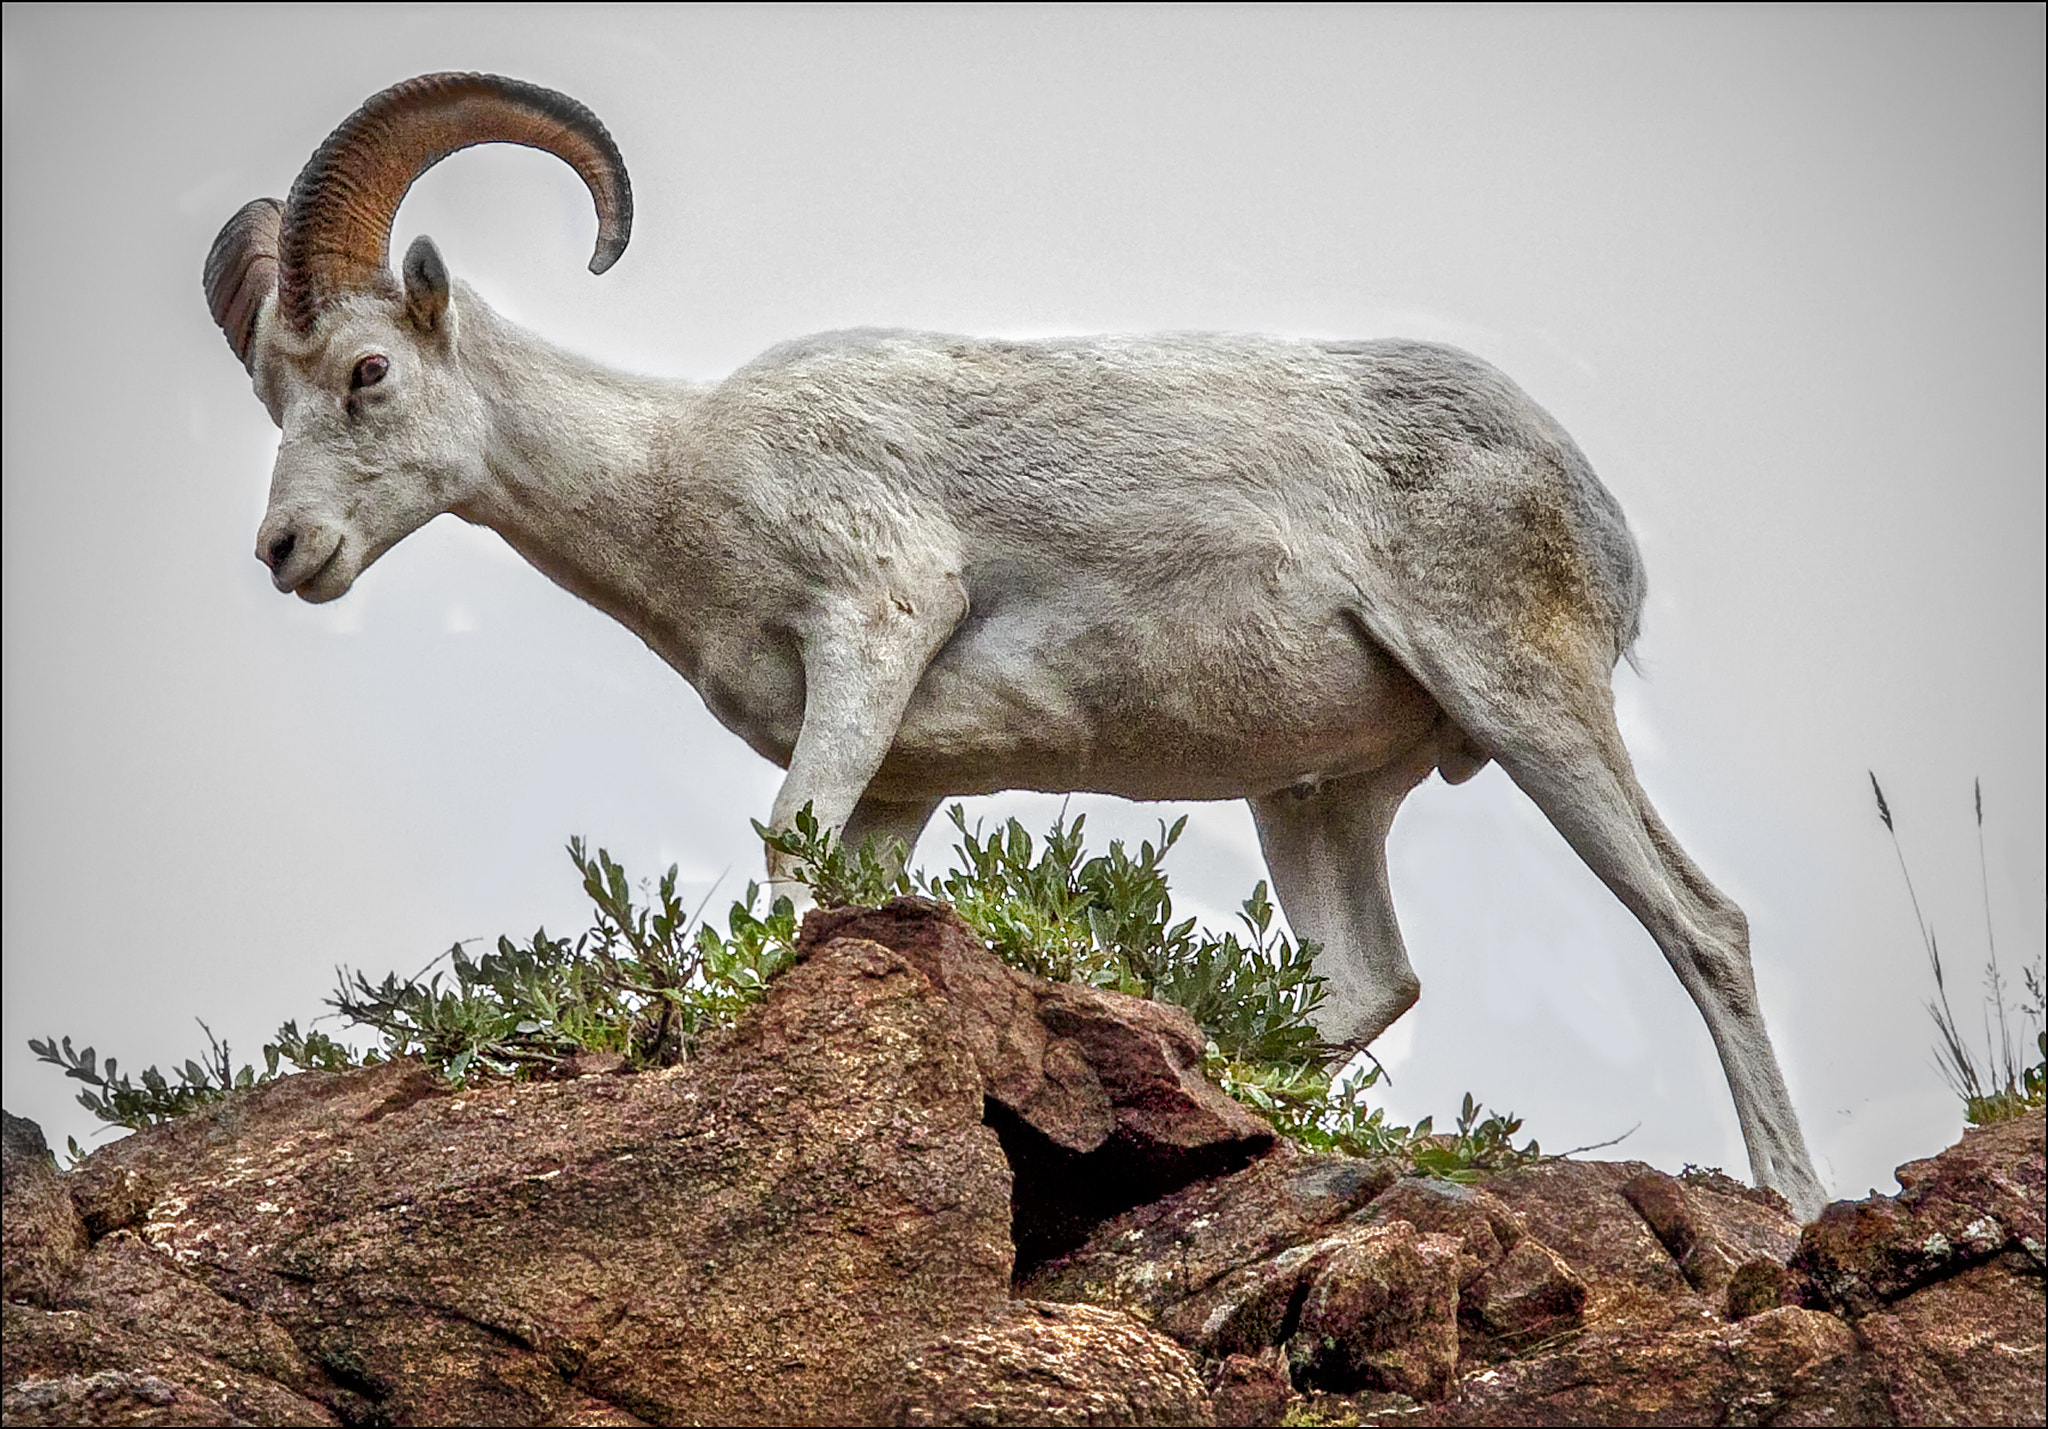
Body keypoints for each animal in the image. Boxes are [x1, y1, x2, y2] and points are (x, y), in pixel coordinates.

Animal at [205, 72, 1825, 1218]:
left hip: (1527, 705)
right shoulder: (902, 787)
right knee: (1368, 983)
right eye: (271, 399)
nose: (285, 555)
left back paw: (1798, 1200)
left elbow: (782, 867)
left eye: (365, 373)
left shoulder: (872, 628)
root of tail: (1591, 513)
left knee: (1700, 925)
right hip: (1314, 798)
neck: (675, 481)